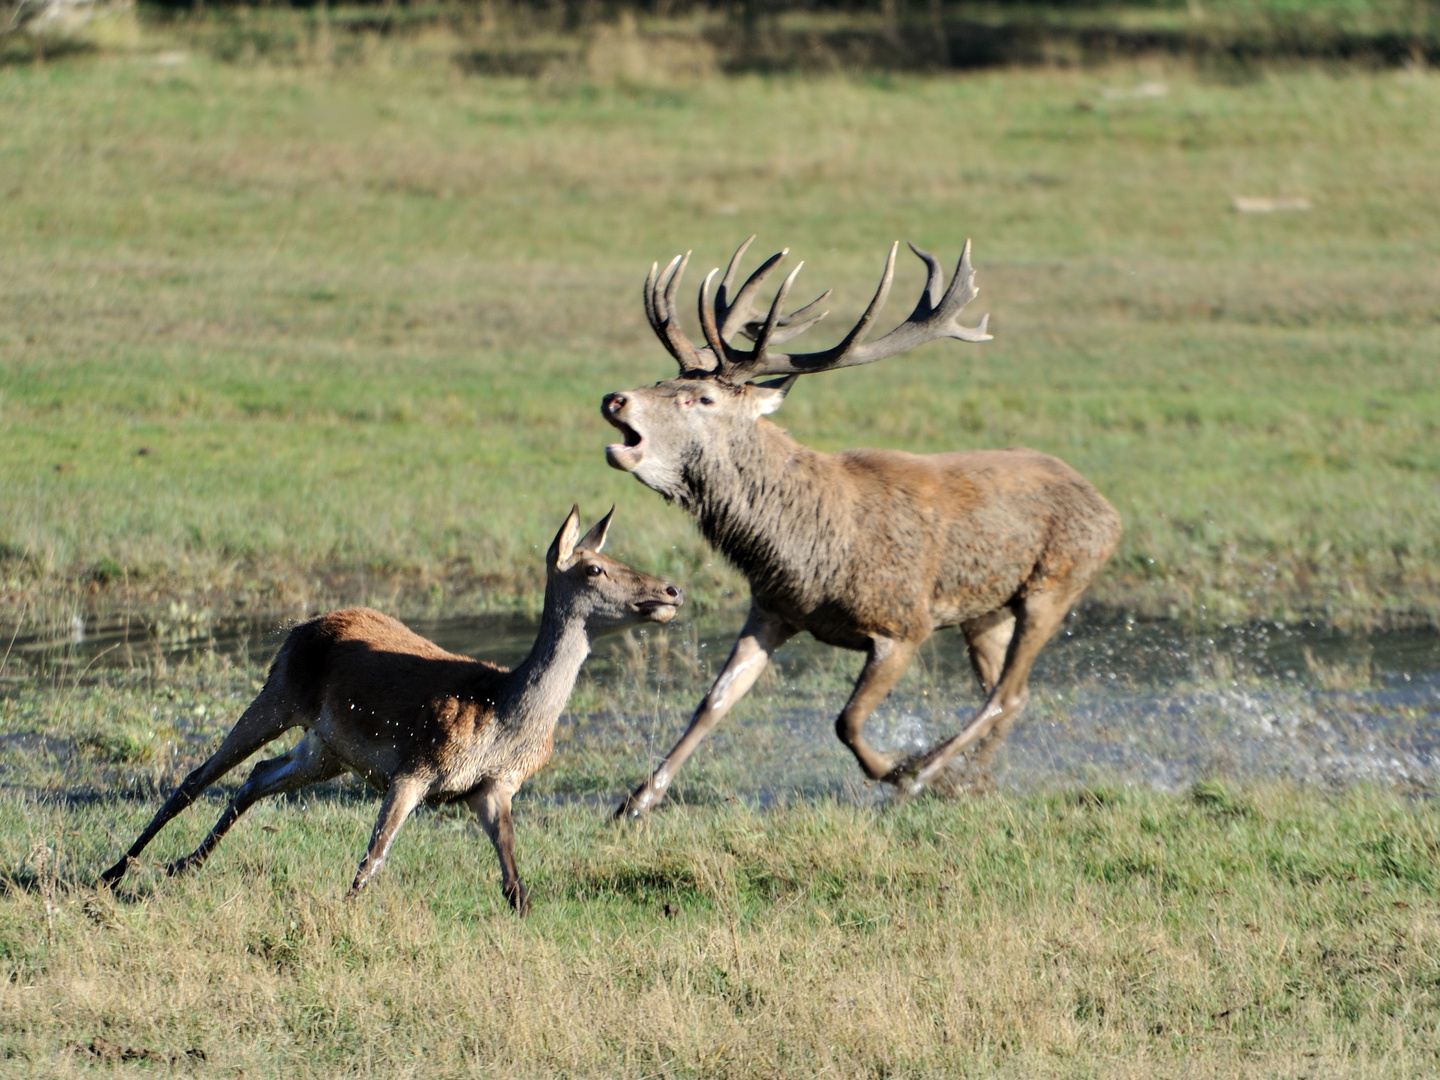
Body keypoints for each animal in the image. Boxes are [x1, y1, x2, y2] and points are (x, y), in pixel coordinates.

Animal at [102, 512, 685, 915]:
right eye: (595, 568)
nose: (671, 589)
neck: (504, 716)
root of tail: (303, 625)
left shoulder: (491, 787)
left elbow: (513, 878)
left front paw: (524, 913)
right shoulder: (417, 764)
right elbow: (373, 857)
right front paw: (344, 911)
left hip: (326, 748)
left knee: (257, 776)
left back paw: (183, 865)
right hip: (278, 693)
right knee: (196, 777)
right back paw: (115, 871)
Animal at [601, 234, 1117, 812]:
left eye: (703, 397)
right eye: (661, 379)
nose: (615, 399)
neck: (806, 553)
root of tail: (1107, 507)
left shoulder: (904, 623)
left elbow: (846, 720)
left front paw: (896, 770)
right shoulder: (772, 609)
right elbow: (713, 702)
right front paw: (635, 802)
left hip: (1057, 583)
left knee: (1005, 693)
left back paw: (930, 770)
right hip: (984, 610)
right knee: (1011, 693)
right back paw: (973, 779)